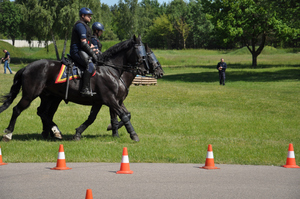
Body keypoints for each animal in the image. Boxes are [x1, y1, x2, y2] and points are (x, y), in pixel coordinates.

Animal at [0, 35, 155, 142]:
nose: (145, 68)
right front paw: (133, 134)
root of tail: (26, 67)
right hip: (29, 95)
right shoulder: (110, 99)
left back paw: (53, 132)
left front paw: (80, 132)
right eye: (139, 50)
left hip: (49, 97)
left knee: (43, 113)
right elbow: (122, 115)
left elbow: (115, 115)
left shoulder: (107, 101)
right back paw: (8, 134)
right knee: (17, 110)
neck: (110, 69)